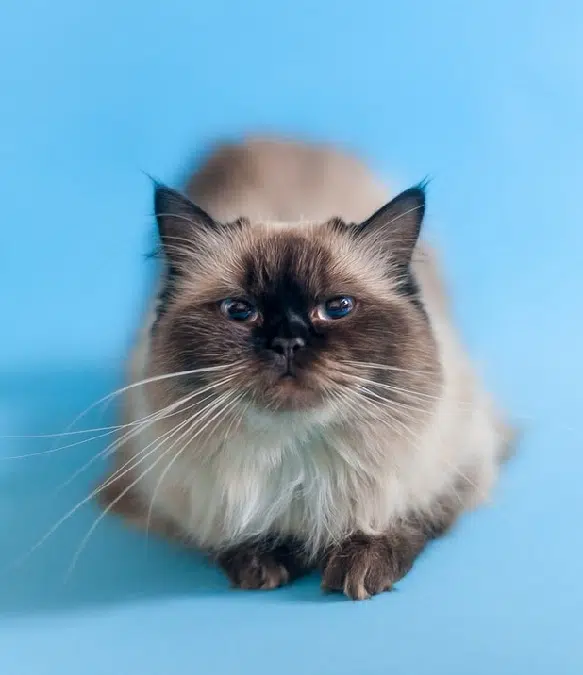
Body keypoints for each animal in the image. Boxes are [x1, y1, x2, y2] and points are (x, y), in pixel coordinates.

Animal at [98, 137, 512, 604]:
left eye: (337, 308)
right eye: (239, 311)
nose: (288, 343)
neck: (299, 466)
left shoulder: (460, 468)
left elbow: (407, 516)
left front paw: (361, 564)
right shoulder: (162, 494)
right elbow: (225, 533)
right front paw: (260, 562)